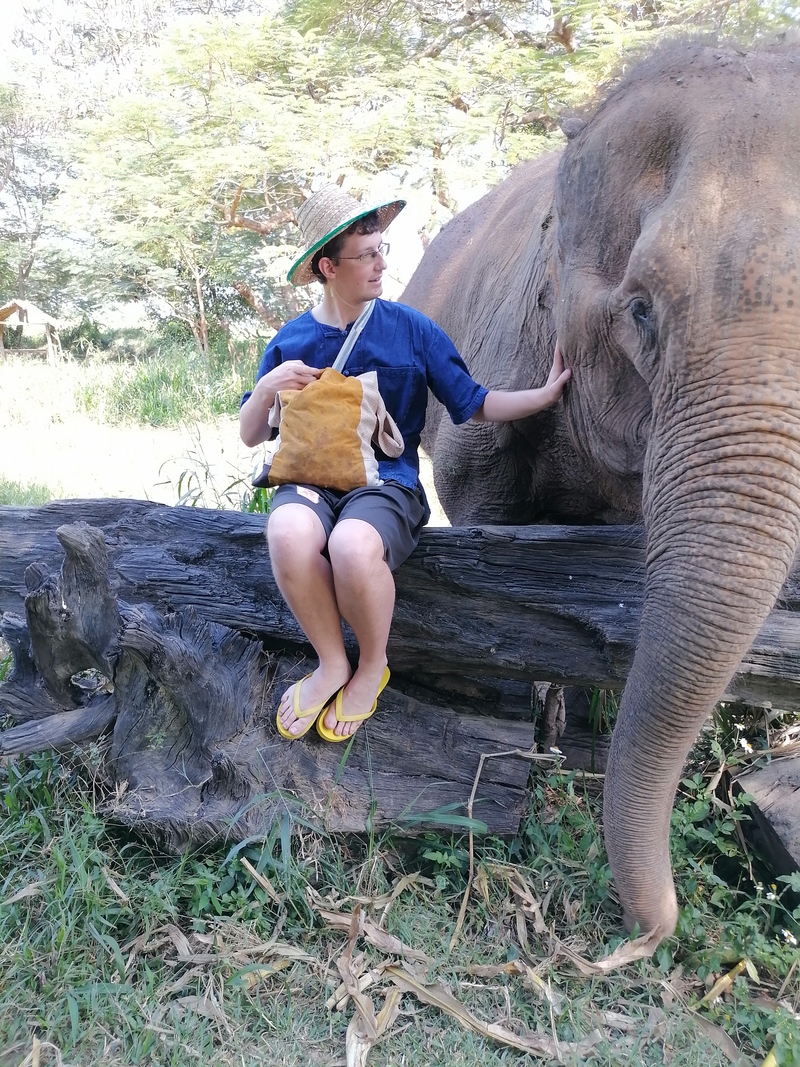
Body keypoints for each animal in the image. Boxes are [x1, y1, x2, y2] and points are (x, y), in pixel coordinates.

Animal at [401, 38, 800, 942]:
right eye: (641, 309)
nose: (652, 931)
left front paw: (577, 745)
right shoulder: (503, 363)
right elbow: (490, 538)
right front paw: (516, 741)